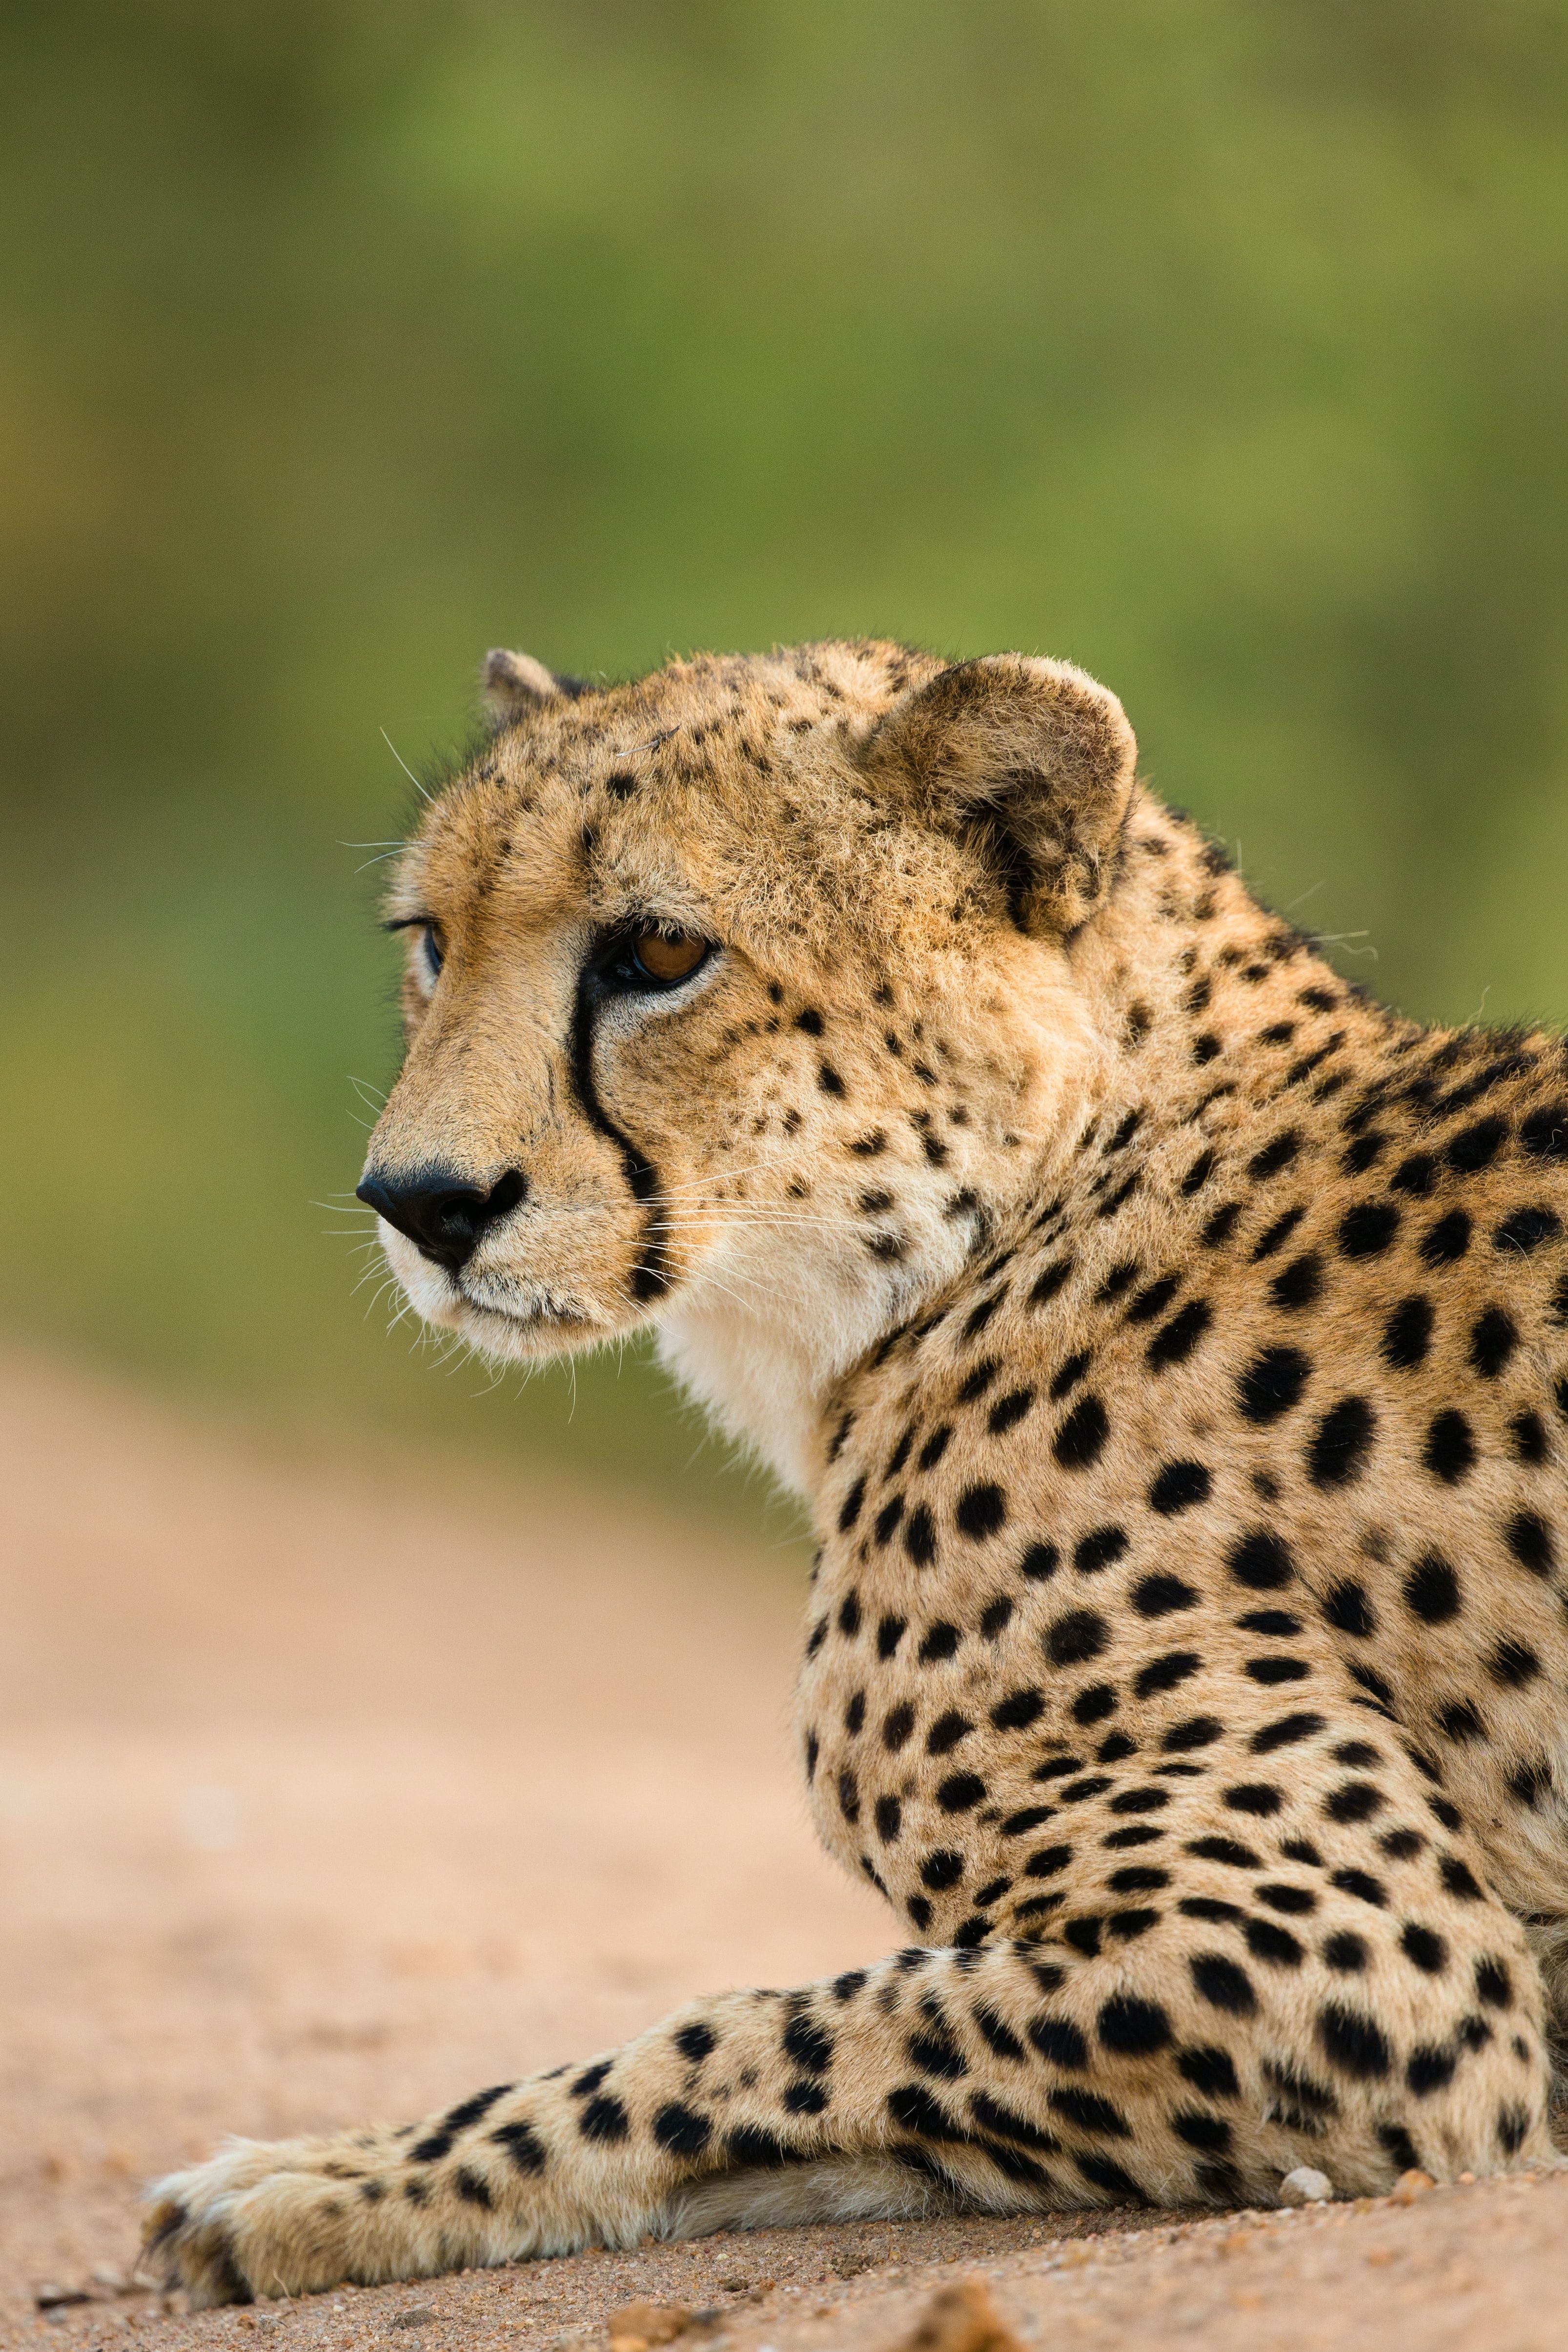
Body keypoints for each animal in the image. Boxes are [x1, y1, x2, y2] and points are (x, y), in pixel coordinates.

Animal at [146, 635, 1568, 2306]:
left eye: (658, 949)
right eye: (433, 940)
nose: (421, 1201)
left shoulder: (1360, 1965)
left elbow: (730, 2036)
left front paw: (322, 2179)